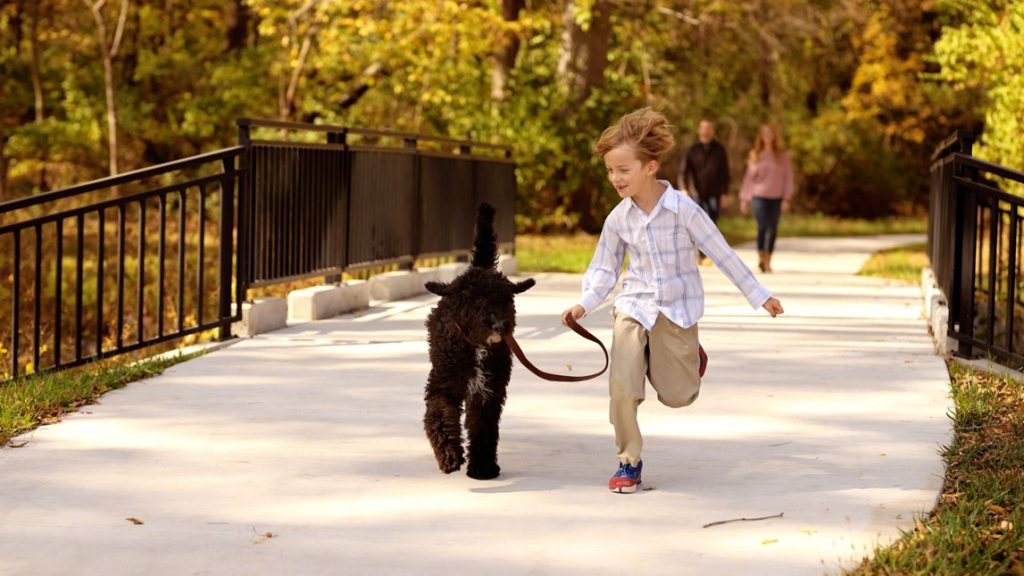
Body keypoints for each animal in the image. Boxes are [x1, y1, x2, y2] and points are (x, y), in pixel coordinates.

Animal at [421, 203, 536, 477]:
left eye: (505, 299)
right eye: (476, 301)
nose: (498, 324)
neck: (475, 347)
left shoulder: (487, 392)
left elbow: (483, 427)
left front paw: (482, 467)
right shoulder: (442, 385)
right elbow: (440, 418)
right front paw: (450, 456)